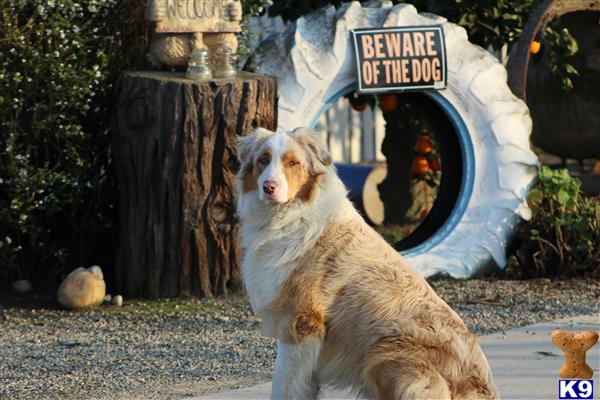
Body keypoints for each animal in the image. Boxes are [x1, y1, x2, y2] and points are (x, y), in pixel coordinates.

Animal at [234, 126, 496, 398]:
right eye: (263, 160)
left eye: (292, 162)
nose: (269, 187)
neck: (290, 215)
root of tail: (480, 387)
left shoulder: (300, 324)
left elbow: (283, 384)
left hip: (383, 352)